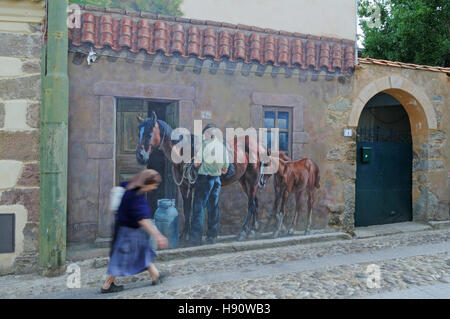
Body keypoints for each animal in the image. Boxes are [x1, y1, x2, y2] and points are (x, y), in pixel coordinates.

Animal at [135, 112, 268, 242]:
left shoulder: (197, 186)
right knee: (254, 202)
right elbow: (187, 209)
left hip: (252, 180)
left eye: (149, 134)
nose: (140, 157)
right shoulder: (184, 187)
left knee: (250, 204)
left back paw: (243, 232)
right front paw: (184, 235)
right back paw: (252, 230)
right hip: (245, 181)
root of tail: (256, 146)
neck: (184, 152)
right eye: (138, 134)